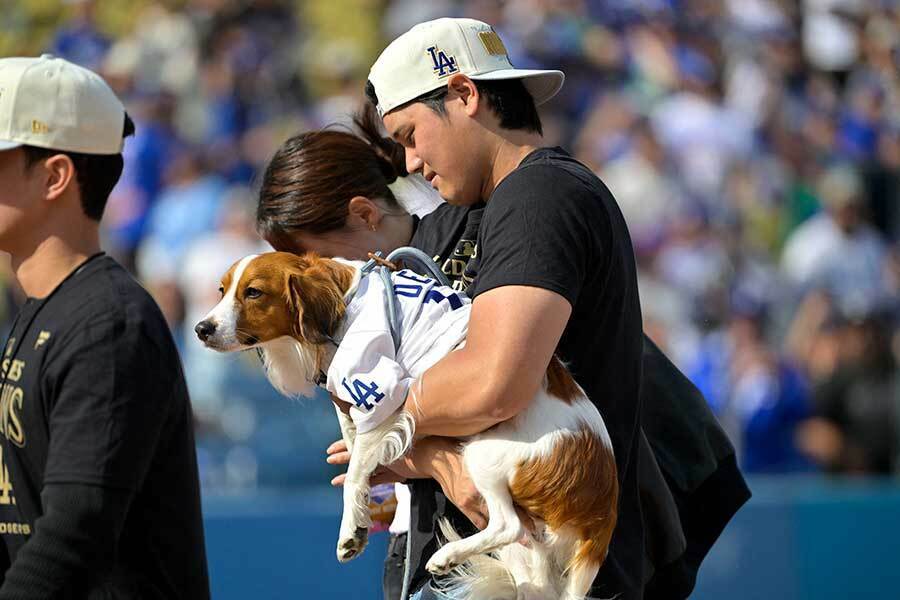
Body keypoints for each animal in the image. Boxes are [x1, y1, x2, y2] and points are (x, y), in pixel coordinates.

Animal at [195, 251, 620, 596]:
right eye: (222, 290)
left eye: (253, 293)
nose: (201, 329)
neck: (343, 300)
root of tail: (603, 507)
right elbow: (353, 438)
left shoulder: (380, 390)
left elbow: (355, 471)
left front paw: (351, 529)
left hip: (485, 454)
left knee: (507, 525)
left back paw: (446, 555)